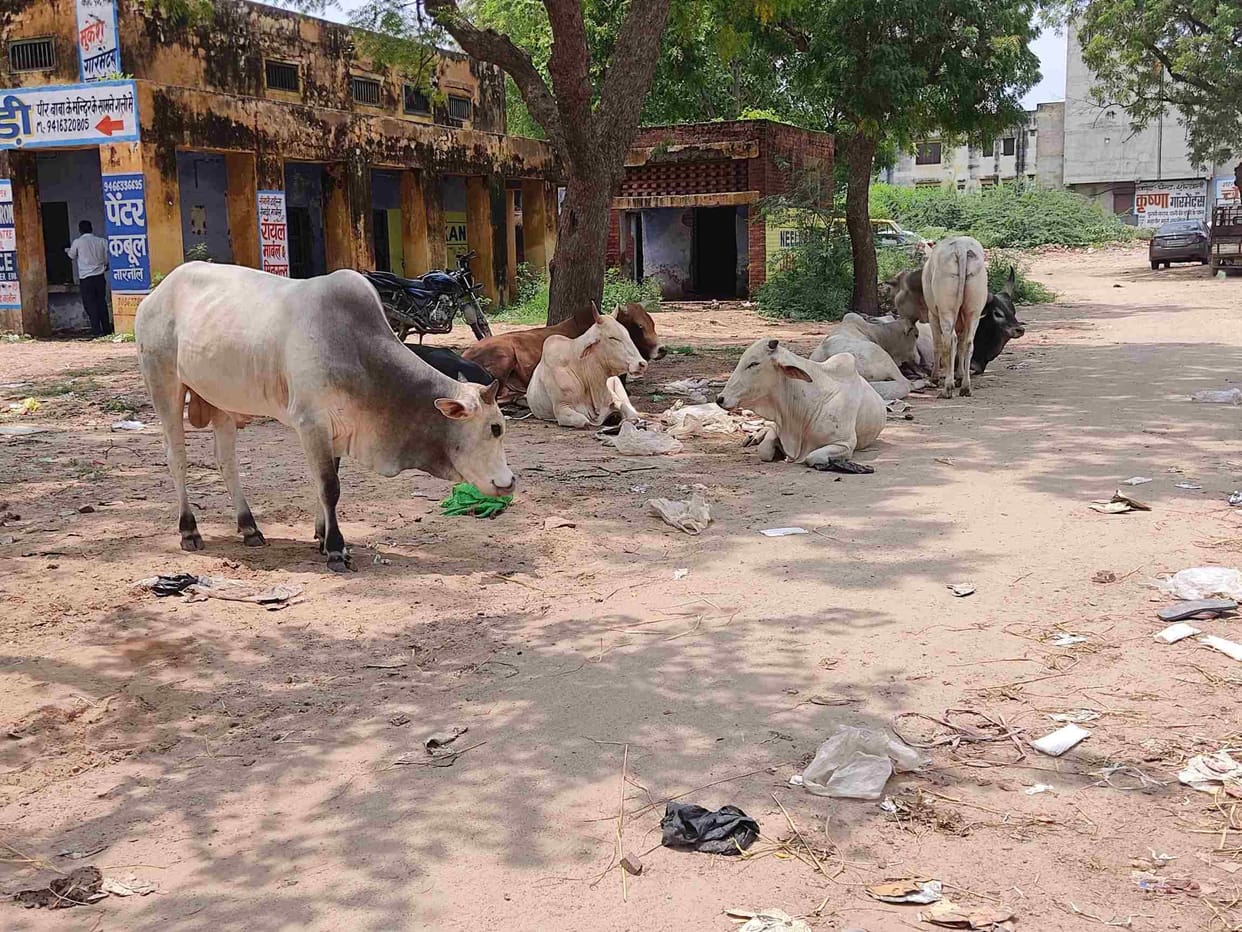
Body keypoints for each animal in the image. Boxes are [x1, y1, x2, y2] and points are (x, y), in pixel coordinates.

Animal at [135, 262, 515, 572]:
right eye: (495, 428)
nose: (509, 482)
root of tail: (157, 293)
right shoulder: (311, 424)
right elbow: (329, 487)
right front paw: (335, 549)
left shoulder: (338, 429)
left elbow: (326, 483)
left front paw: (321, 536)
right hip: (164, 385)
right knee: (177, 458)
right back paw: (189, 529)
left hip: (221, 402)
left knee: (226, 461)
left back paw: (249, 527)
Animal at [717, 339, 885, 474]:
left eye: (754, 363)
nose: (720, 398)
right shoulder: (780, 426)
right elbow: (764, 450)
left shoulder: (845, 443)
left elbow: (812, 457)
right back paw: (753, 437)